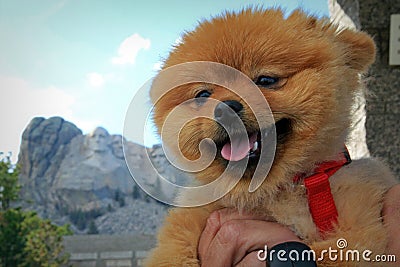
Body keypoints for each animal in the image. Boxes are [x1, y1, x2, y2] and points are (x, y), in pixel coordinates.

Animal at [144, 7, 396, 266]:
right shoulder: (195, 213)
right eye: (203, 94)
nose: (225, 108)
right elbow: (173, 248)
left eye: (265, 80)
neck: (270, 192)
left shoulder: (357, 227)